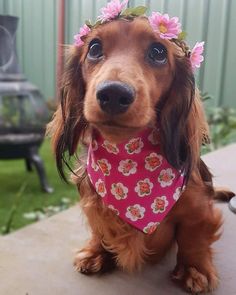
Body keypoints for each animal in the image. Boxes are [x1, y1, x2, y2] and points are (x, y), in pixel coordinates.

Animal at [47, 8, 234, 294]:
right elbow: (99, 228)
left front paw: (194, 268)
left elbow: (193, 237)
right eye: (94, 48)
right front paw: (96, 251)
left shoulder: (199, 208)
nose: (113, 94)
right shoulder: (93, 202)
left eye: (158, 52)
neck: (128, 158)